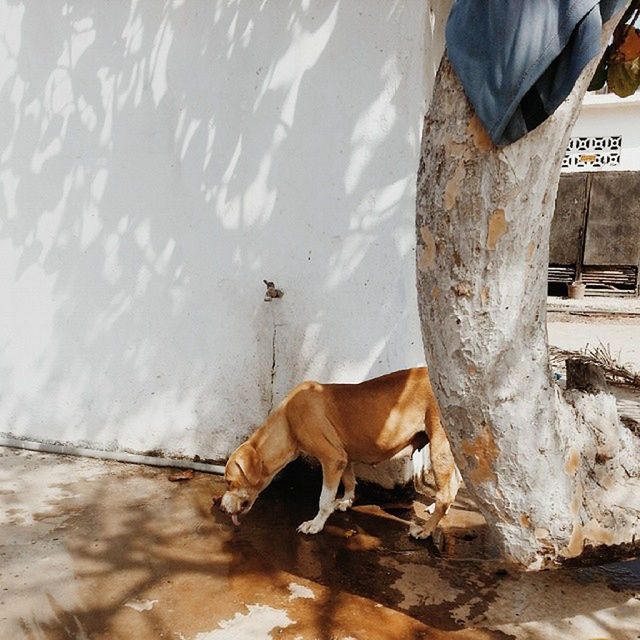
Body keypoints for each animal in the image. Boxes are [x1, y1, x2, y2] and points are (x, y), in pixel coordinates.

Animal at [220, 368, 460, 536]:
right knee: (455, 481)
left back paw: (426, 530)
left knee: (445, 494)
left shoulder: (332, 458)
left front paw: (316, 524)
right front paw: (345, 501)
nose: (221, 507)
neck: (287, 420)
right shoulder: (344, 456)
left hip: (439, 445)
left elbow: (324, 499)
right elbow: (349, 480)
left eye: (229, 482)